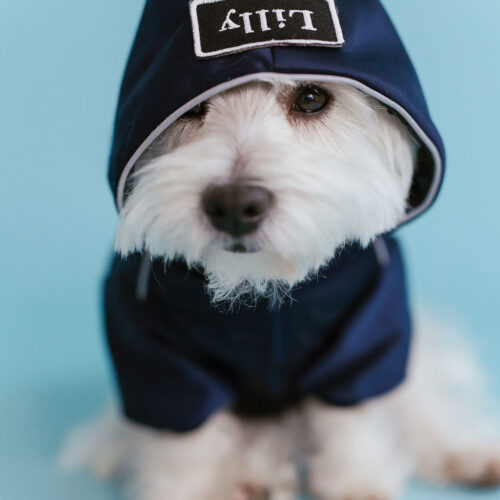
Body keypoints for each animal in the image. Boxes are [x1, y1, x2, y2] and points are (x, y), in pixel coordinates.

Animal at [62, 80, 500, 498]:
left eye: (311, 98)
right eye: (187, 105)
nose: (234, 204)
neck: (261, 289)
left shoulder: (368, 321)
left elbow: (352, 413)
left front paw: (355, 483)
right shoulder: (151, 345)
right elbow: (186, 432)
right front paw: (195, 491)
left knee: (423, 408)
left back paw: (466, 454)